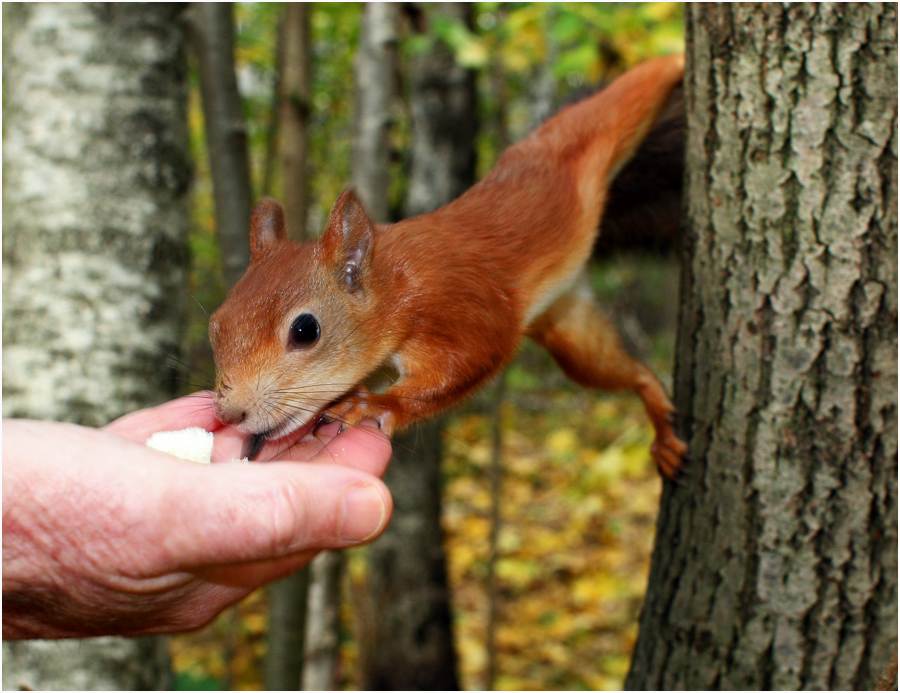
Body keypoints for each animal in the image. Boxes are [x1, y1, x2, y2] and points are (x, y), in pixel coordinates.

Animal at [209, 54, 688, 478]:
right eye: (216, 325)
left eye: (306, 330)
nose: (231, 415)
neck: (396, 282)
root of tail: (538, 147)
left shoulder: (460, 307)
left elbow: (470, 361)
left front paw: (377, 403)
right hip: (568, 329)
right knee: (622, 368)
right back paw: (655, 405)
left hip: (596, 124)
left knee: (638, 86)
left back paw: (677, 59)